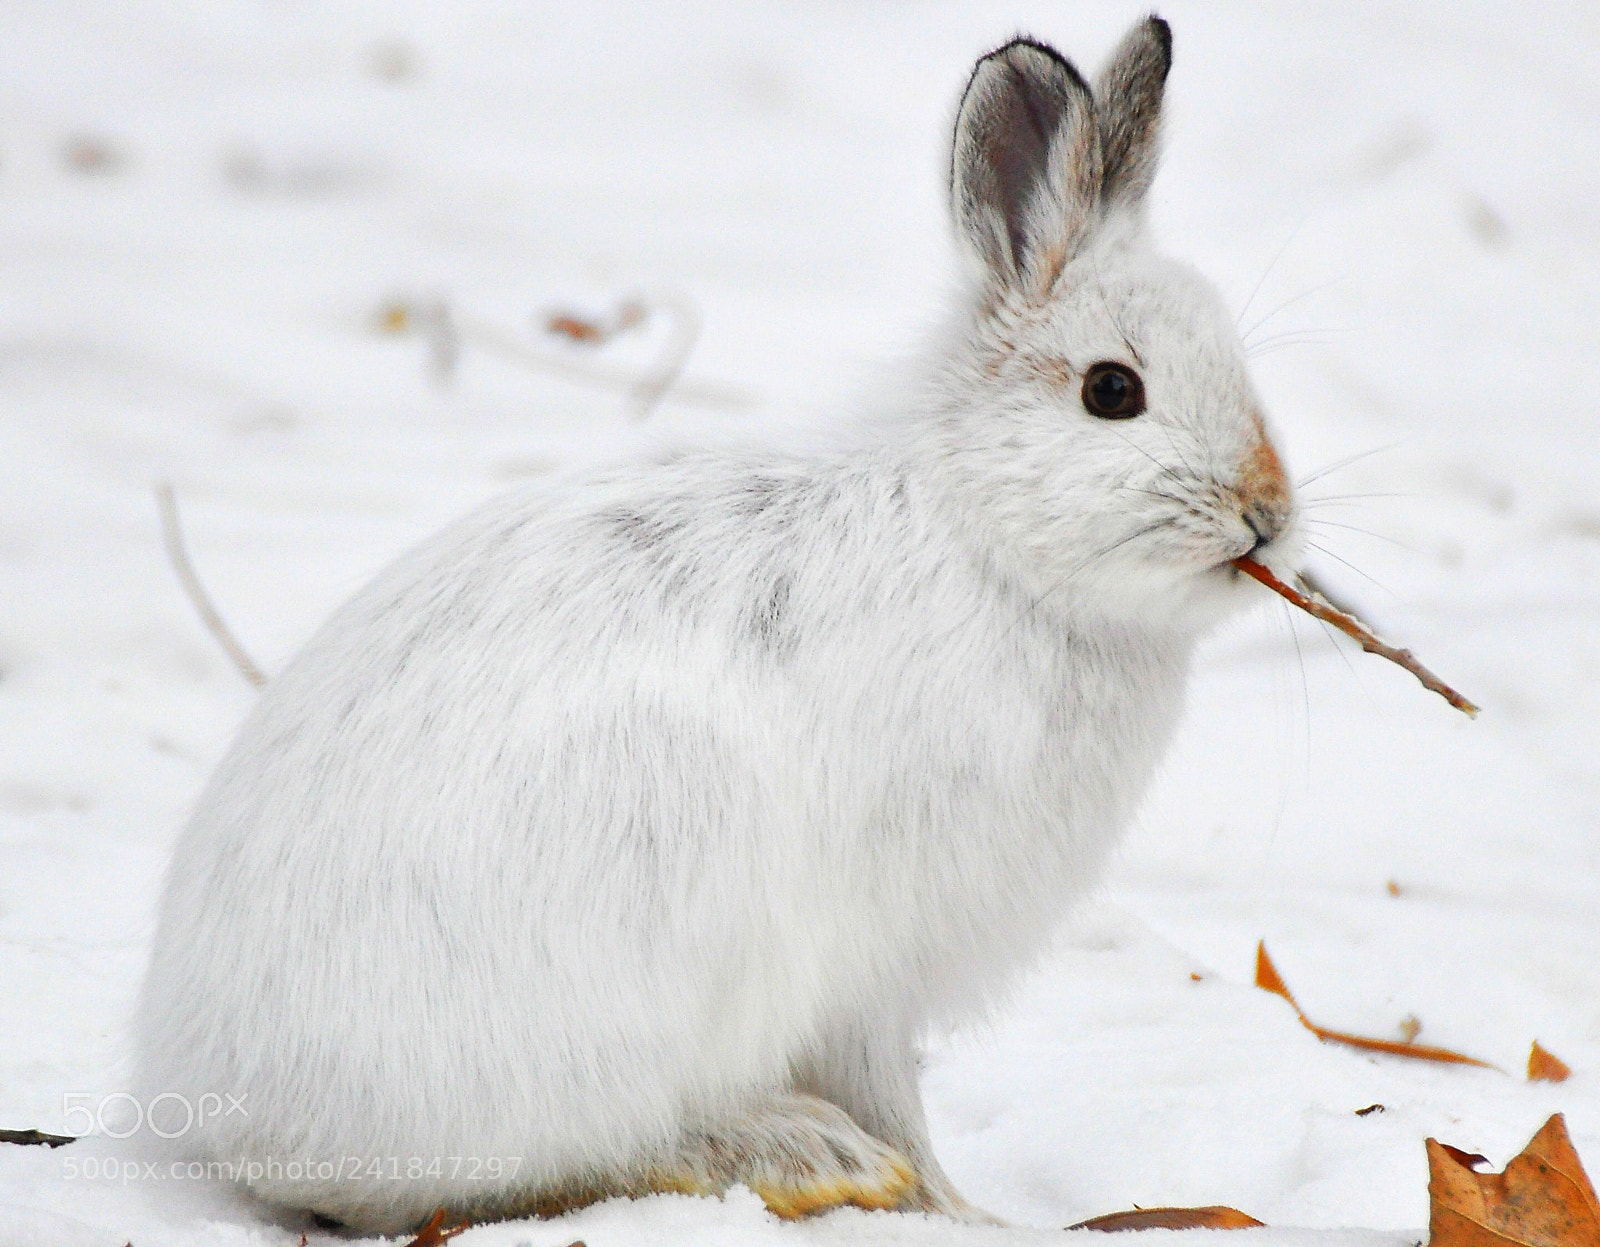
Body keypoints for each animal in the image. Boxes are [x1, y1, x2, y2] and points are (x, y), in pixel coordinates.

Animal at [135, 15, 1299, 1235]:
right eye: (1112, 391)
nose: (1268, 517)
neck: (985, 538)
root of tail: (235, 1111)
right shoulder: (873, 962)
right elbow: (892, 1090)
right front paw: (959, 1208)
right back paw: (804, 1153)